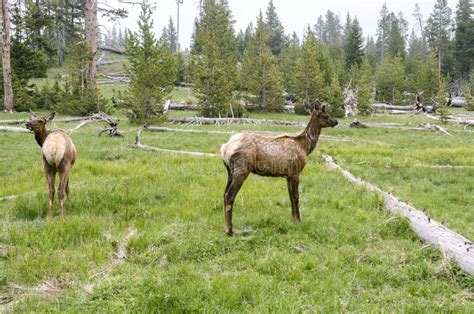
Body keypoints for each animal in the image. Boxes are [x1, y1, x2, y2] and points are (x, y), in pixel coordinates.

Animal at [221, 100, 336, 236]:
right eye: (326, 115)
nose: (336, 121)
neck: (305, 147)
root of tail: (224, 148)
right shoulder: (295, 172)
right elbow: (296, 196)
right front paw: (298, 220)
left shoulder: (287, 175)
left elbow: (290, 197)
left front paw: (293, 219)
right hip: (242, 169)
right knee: (230, 195)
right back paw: (229, 230)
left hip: (230, 171)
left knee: (224, 193)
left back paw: (226, 227)